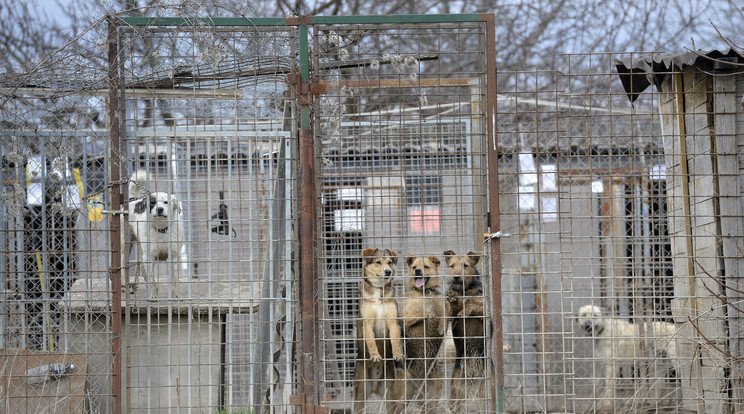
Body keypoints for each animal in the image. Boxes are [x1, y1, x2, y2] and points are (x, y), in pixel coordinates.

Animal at [128, 170, 183, 300]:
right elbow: (152, 279)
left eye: (166, 202)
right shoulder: (149, 257)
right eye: (153, 203)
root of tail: (132, 199)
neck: (161, 229)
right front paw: (153, 295)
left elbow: (174, 278)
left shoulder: (174, 256)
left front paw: (175, 295)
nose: (159, 209)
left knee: (143, 270)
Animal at [354, 247, 404, 412]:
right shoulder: (367, 323)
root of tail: (375, 387)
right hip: (359, 396)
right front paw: (375, 355)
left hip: (389, 397)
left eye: (389, 262)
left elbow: (395, 340)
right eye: (378, 262)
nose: (388, 271)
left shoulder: (393, 322)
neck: (378, 291)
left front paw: (398, 354)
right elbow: (371, 341)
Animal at [444, 249, 492, 410]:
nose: (456, 277)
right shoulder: (451, 316)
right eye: (452, 266)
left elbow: (473, 304)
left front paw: (466, 308)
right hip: (455, 393)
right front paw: (454, 300)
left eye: (465, 265)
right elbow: (453, 308)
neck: (464, 290)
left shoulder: (485, 313)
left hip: (489, 391)